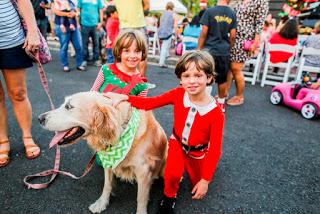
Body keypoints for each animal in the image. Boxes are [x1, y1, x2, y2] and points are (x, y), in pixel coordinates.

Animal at [37, 91, 168, 214]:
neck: (121, 132)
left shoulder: (143, 172)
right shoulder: (109, 163)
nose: (39, 118)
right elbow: (107, 186)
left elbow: (141, 198)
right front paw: (101, 203)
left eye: (69, 106)